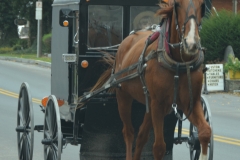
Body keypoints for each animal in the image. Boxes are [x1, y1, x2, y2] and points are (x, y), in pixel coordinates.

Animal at [88, 0, 210, 159]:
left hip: (149, 104)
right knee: (129, 132)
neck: (178, 63)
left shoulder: (190, 103)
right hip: (124, 97)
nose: (191, 43)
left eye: (202, 5)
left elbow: (205, 132)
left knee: (141, 136)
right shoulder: (158, 104)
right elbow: (159, 147)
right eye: (177, 4)